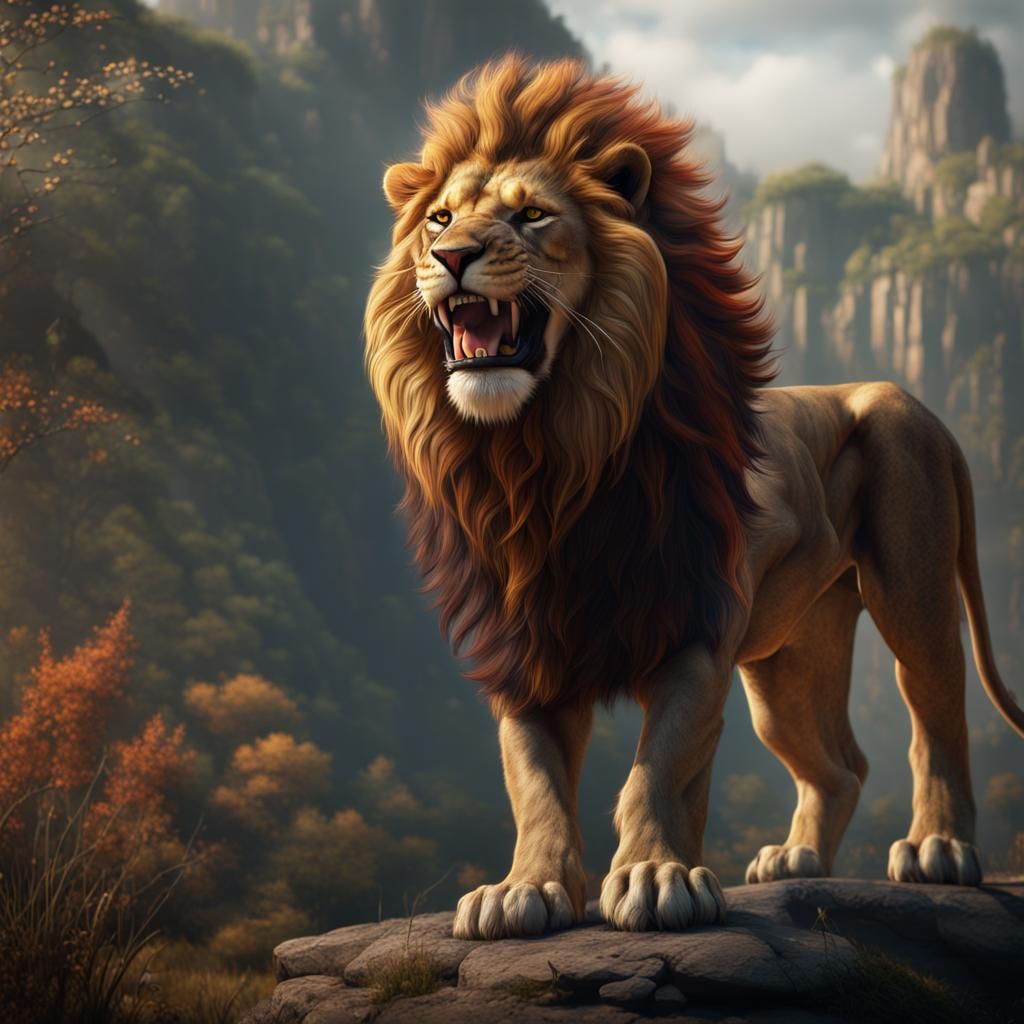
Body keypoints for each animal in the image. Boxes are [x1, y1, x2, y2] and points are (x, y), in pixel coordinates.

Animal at [364, 56, 1024, 940]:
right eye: (437, 218)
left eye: (532, 215)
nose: (452, 253)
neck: (546, 460)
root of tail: (914, 402)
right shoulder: (528, 648)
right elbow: (533, 782)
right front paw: (522, 890)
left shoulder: (695, 630)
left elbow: (660, 768)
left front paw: (655, 878)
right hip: (788, 661)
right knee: (843, 765)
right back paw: (798, 859)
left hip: (912, 588)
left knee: (937, 718)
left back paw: (940, 849)